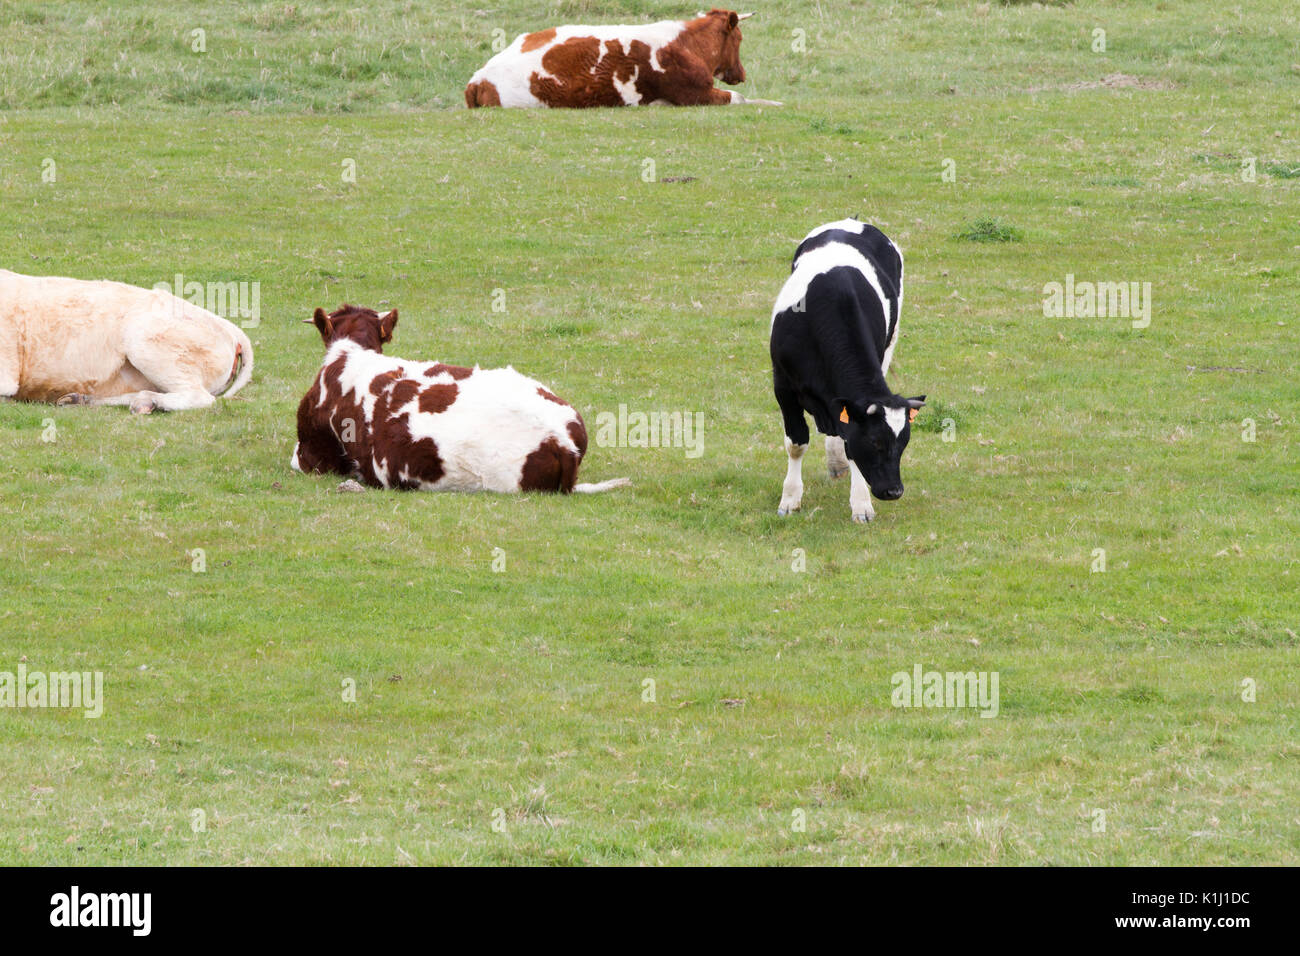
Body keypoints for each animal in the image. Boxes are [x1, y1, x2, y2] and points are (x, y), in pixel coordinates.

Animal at [464, 9, 781, 109]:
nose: (741, 73)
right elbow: (740, 98)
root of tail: (478, 79)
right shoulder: (694, 95)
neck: (687, 45)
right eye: (739, 39)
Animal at [769, 219, 927, 523]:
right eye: (875, 442)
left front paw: (861, 504)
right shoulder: (783, 385)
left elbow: (848, 441)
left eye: (904, 443)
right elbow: (796, 442)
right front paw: (790, 499)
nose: (894, 491)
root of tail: (852, 221)